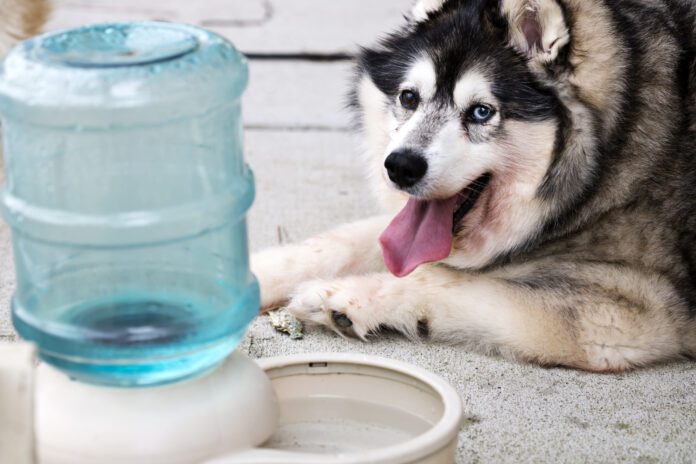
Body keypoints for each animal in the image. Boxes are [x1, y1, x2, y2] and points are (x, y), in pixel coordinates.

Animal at [256, 0, 696, 370]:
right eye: (409, 98)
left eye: (481, 112)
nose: (399, 167)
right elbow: (339, 242)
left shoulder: (626, 315)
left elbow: (451, 278)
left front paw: (351, 297)